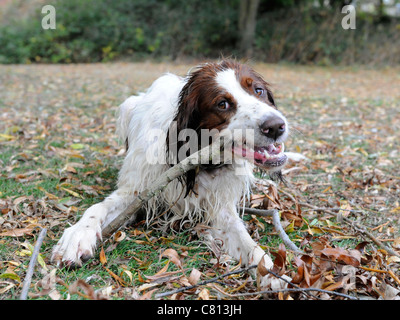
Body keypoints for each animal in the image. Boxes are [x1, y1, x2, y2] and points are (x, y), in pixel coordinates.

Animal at [51, 60, 290, 282]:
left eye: (258, 90)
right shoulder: (137, 192)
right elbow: (97, 208)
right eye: (222, 104)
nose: (276, 126)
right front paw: (77, 236)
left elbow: (245, 240)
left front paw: (271, 272)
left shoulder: (218, 205)